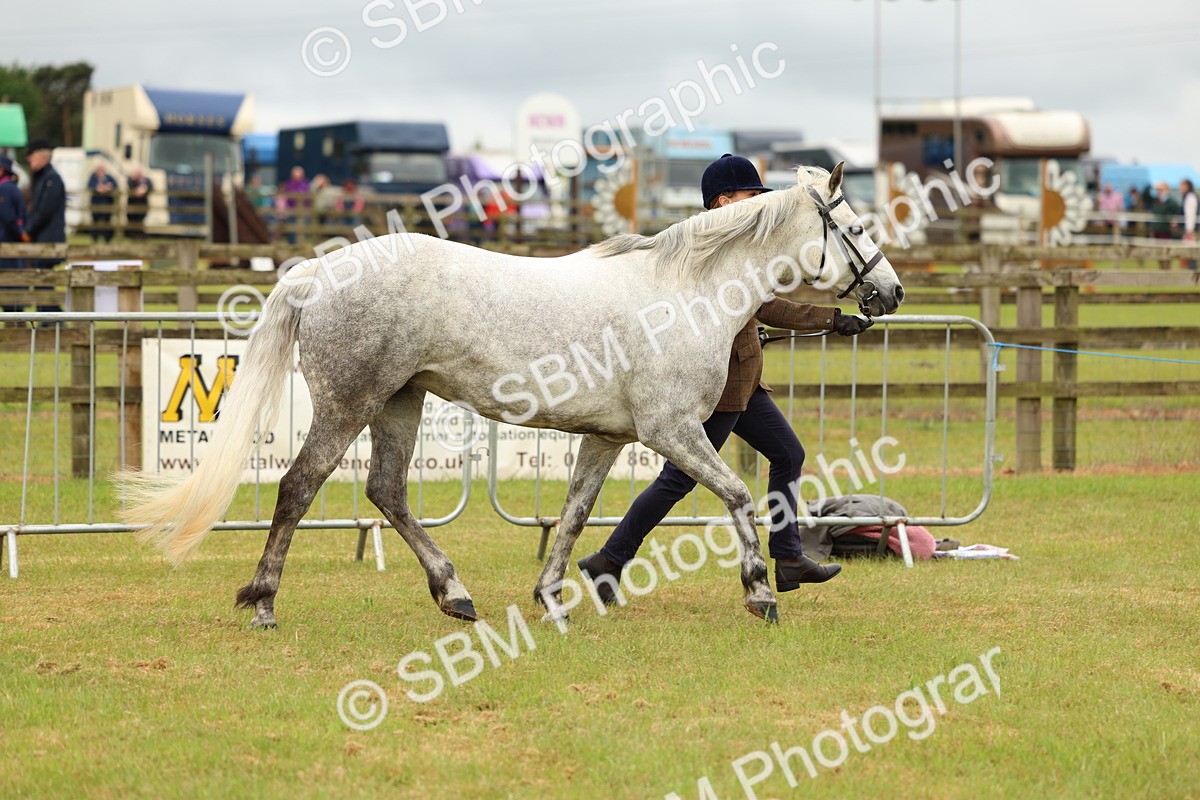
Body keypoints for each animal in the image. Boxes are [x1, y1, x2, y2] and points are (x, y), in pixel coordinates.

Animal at [118, 163, 904, 629]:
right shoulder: (672, 432)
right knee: (299, 487)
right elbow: (739, 497)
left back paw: (454, 593)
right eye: (857, 227)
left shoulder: (609, 436)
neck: (686, 294)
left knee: (386, 491)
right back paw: (264, 603)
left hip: (400, 402)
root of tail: (317, 272)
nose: (890, 294)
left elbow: (576, 514)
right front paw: (761, 592)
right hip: (349, 403)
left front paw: (553, 598)